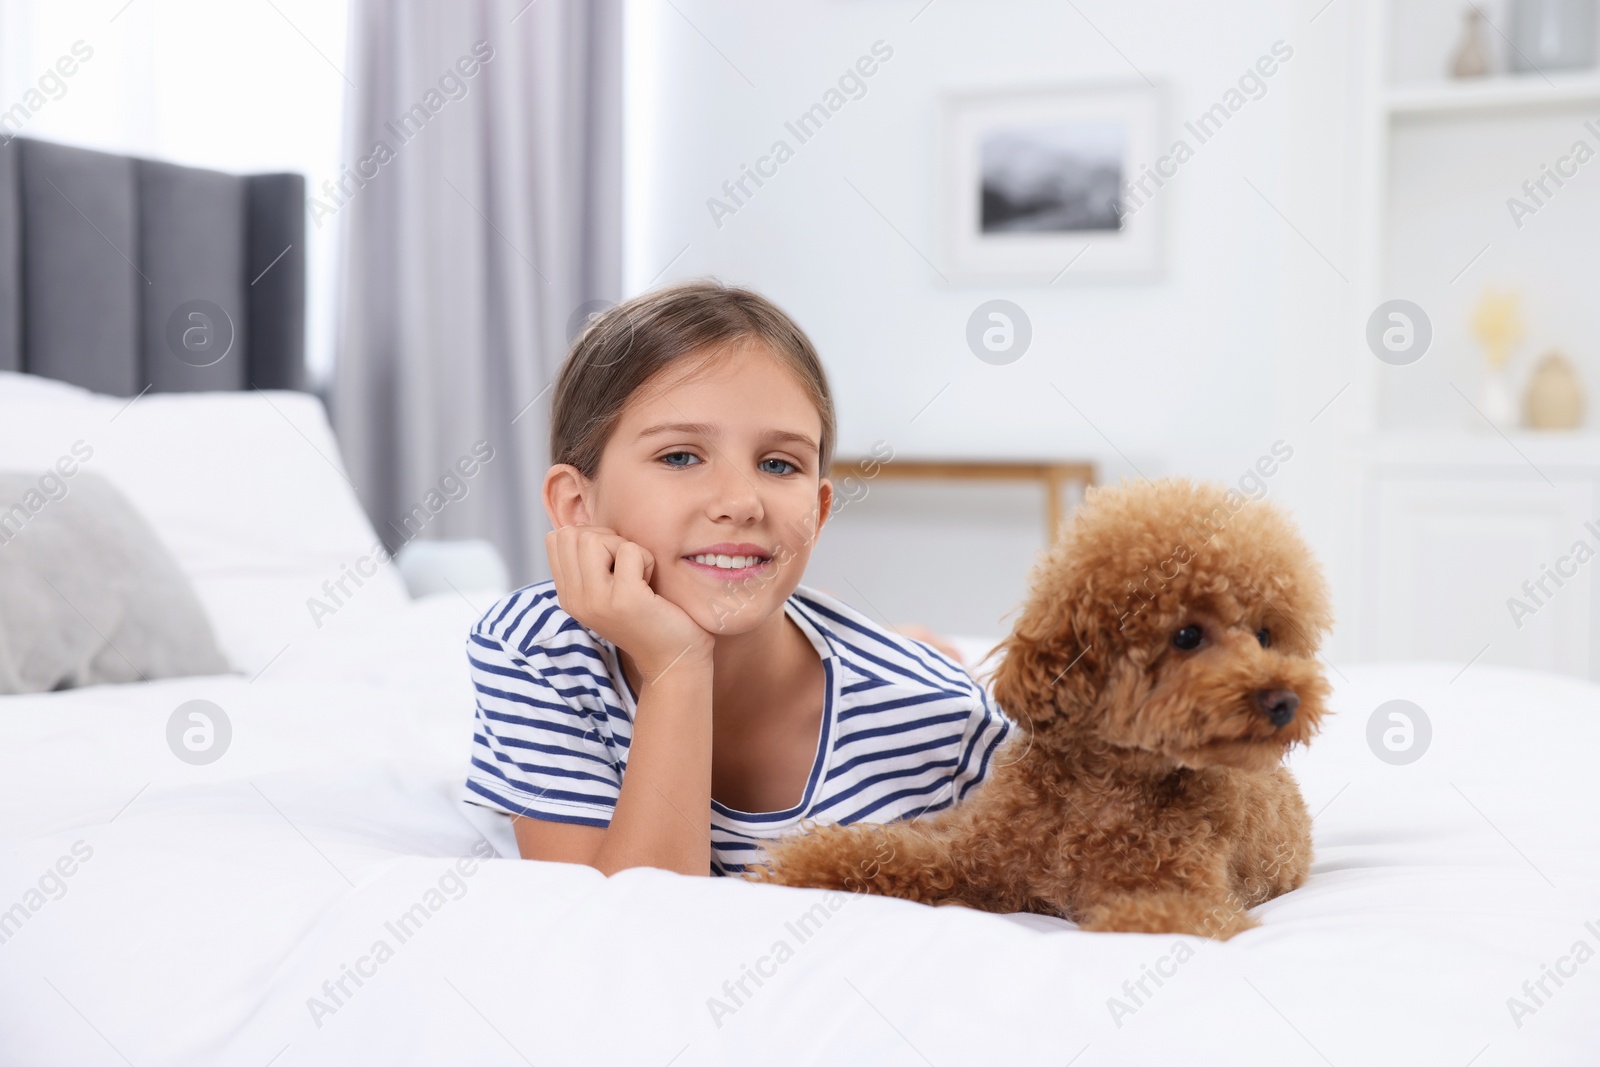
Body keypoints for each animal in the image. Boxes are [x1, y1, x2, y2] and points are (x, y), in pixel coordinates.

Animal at [748, 479, 1337, 940]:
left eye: (1266, 636)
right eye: (1188, 635)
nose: (1285, 700)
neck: (1104, 787)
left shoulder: (1187, 903)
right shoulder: (972, 857)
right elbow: (888, 856)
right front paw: (792, 871)